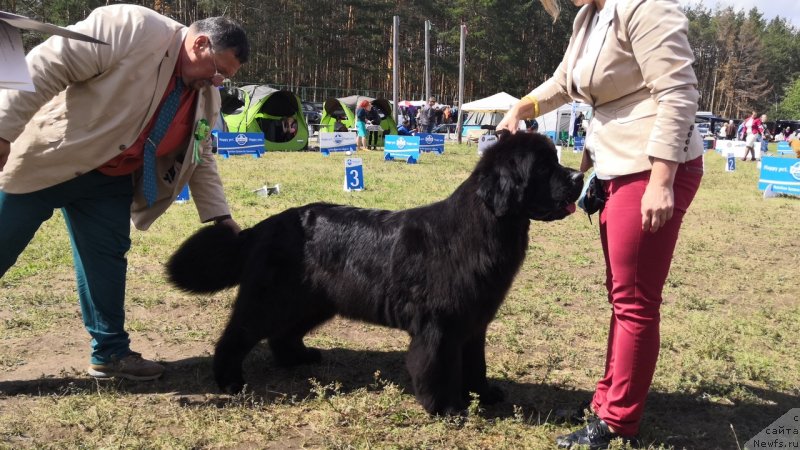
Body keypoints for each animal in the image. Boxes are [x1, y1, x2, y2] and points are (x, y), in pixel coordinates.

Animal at [167, 130, 580, 414]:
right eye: (543, 168)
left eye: (555, 161)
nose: (578, 177)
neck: (483, 227)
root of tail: (265, 225)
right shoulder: (440, 327)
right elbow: (438, 366)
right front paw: (445, 407)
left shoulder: (473, 322)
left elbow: (475, 363)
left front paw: (485, 393)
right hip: (271, 300)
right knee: (236, 335)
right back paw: (230, 381)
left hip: (311, 301)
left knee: (283, 334)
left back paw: (298, 358)